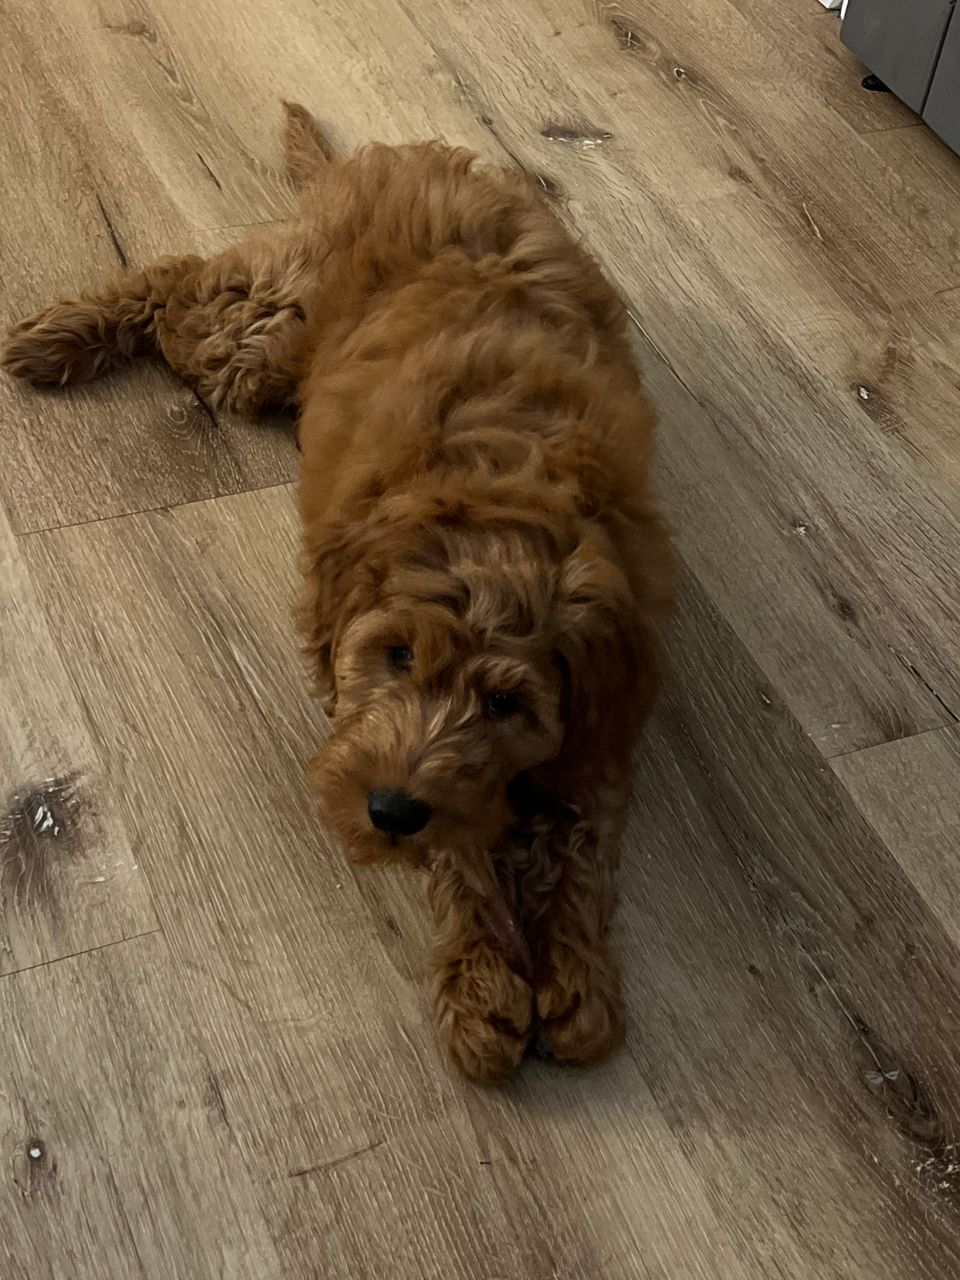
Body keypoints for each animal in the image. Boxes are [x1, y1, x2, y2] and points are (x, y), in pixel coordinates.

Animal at [2, 104, 674, 1084]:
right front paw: (484, 985)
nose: (387, 811)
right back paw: (58, 337)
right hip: (258, 338)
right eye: (394, 656)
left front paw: (578, 977)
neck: (508, 490)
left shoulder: (601, 716)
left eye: (506, 705)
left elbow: (579, 836)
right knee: (177, 285)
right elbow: (457, 849)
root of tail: (381, 163)